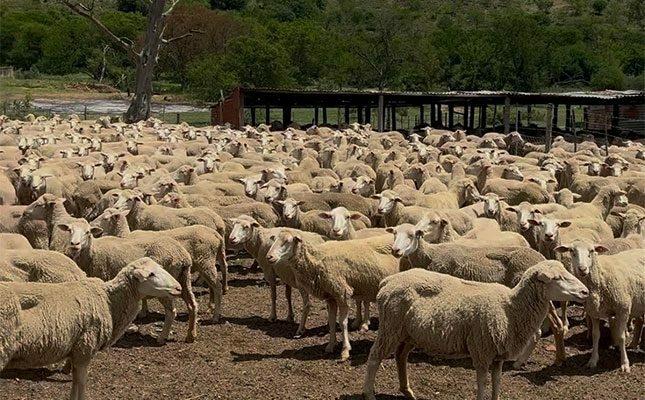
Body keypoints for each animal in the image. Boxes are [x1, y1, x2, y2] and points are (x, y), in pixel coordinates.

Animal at [1, 257, 182, 400]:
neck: (109, 302)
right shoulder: (85, 348)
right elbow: (82, 383)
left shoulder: (76, 352)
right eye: (151, 274)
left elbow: (75, 382)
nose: (179, 288)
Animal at [56, 218, 197, 343]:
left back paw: (162, 337)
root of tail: (184, 256)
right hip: (184, 278)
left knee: (171, 312)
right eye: (69, 230)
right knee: (192, 305)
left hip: (164, 289)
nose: (75, 245)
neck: (92, 252)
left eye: (88, 232)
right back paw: (191, 335)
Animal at [266, 230, 399, 360]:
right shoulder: (331, 297)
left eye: (287, 241)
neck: (317, 259)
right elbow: (331, 320)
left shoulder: (342, 293)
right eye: (274, 239)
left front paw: (345, 351)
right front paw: (331, 345)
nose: (269, 257)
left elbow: (342, 322)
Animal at [362, 261, 588, 400]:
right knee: (374, 357)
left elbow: (497, 382)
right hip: (390, 327)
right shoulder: (482, 350)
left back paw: (408, 391)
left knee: (401, 357)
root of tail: (388, 281)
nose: (585, 291)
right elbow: (482, 383)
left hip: (408, 333)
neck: (510, 309)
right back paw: (369, 394)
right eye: (557, 278)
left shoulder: (498, 355)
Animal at [554, 240, 645, 373]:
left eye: (591, 251)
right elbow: (595, 335)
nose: (582, 269)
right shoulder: (594, 312)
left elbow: (621, 337)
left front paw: (624, 363)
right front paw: (593, 360)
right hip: (639, 303)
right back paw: (633, 344)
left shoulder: (622, 310)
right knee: (640, 320)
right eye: (571, 251)